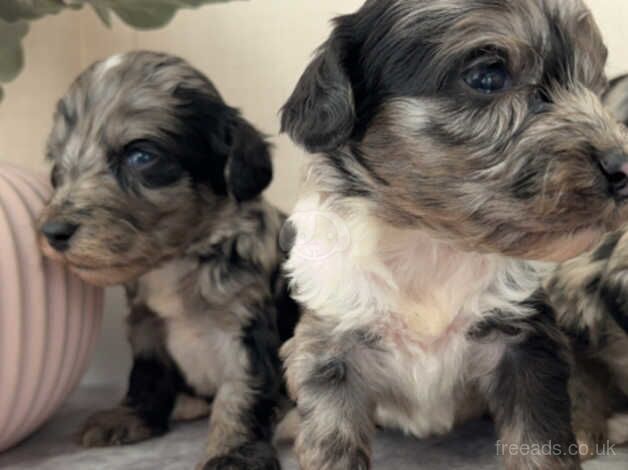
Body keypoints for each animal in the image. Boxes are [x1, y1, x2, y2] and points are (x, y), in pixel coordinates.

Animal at [39, 50, 300, 470]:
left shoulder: (246, 325)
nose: (52, 232)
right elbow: (145, 377)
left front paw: (235, 452)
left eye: (141, 155)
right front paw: (131, 417)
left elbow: (241, 394)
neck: (179, 260)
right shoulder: (146, 327)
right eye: (56, 169)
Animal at [280, 0, 628, 470]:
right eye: (487, 77)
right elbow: (332, 442)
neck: (433, 243)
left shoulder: (525, 347)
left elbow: (538, 443)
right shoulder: (330, 353)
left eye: (594, 84)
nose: (623, 167)